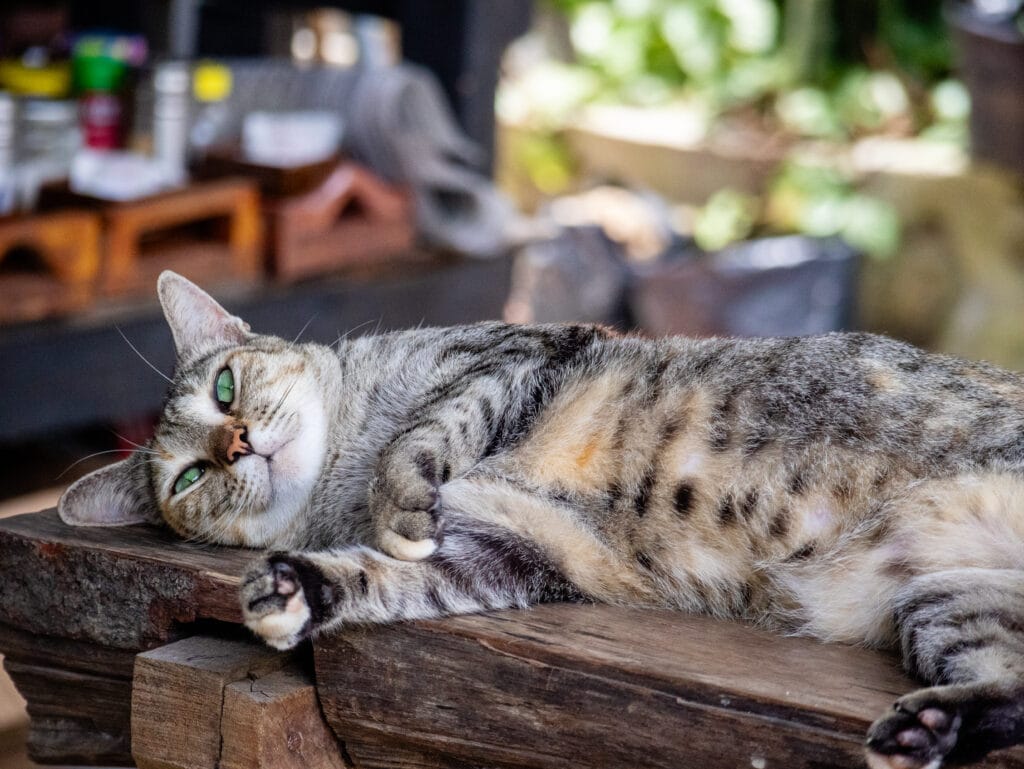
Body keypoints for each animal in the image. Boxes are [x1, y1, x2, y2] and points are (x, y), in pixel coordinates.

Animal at [59, 274, 1024, 769]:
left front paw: (396, 498)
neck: (338, 467)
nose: (235, 443)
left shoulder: (507, 353)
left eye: (225, 387)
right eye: (189, 476)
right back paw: (927, 730)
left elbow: (416, 440)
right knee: (1009, 694)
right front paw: (297, 590)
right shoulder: (502, 551)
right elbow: (382, 576)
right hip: (946, 603)